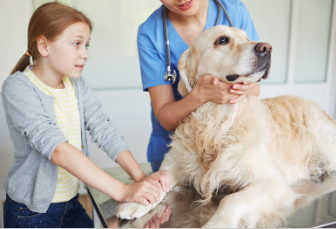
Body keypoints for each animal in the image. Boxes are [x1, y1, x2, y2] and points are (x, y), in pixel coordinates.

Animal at [117, 25, 336, 227]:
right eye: (222, 40)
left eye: (247, 38)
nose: (266, 48)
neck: (216, 121)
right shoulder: (175, 162)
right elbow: (157, 179)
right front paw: (135, 201)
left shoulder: (272, 182)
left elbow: (232, 200)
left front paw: (217, 223)